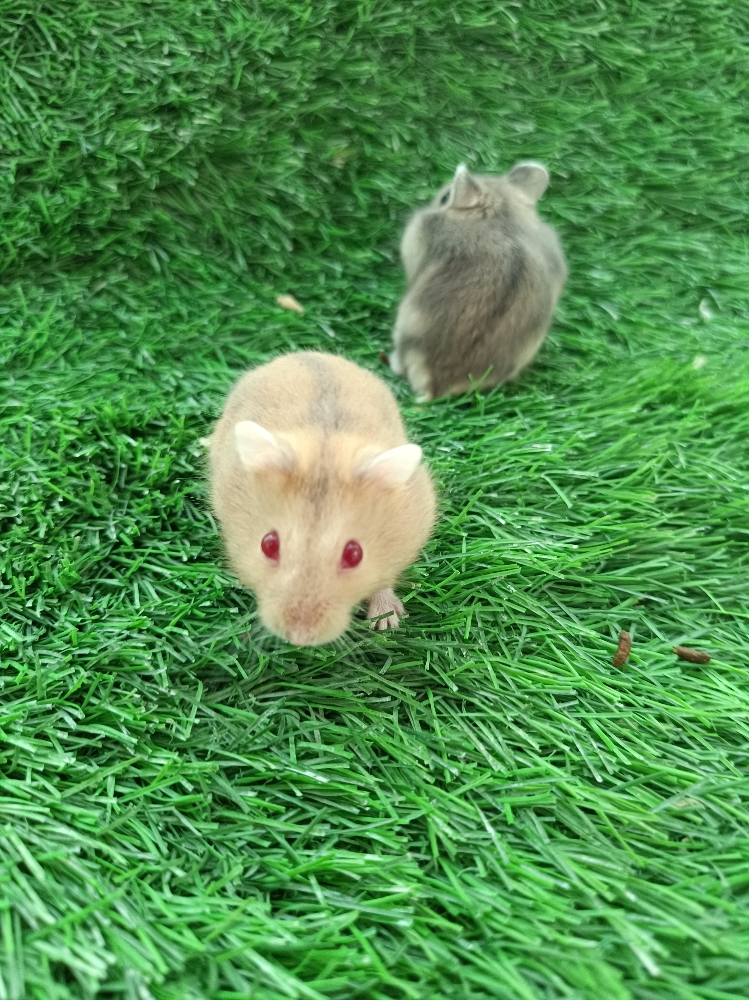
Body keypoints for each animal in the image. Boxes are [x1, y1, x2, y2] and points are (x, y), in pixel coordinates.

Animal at [209, 352, 437, 647]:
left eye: (355, 554)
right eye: (267, 545)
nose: (299, 638)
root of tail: (308, 353)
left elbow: (384, 581)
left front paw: (386, 624)